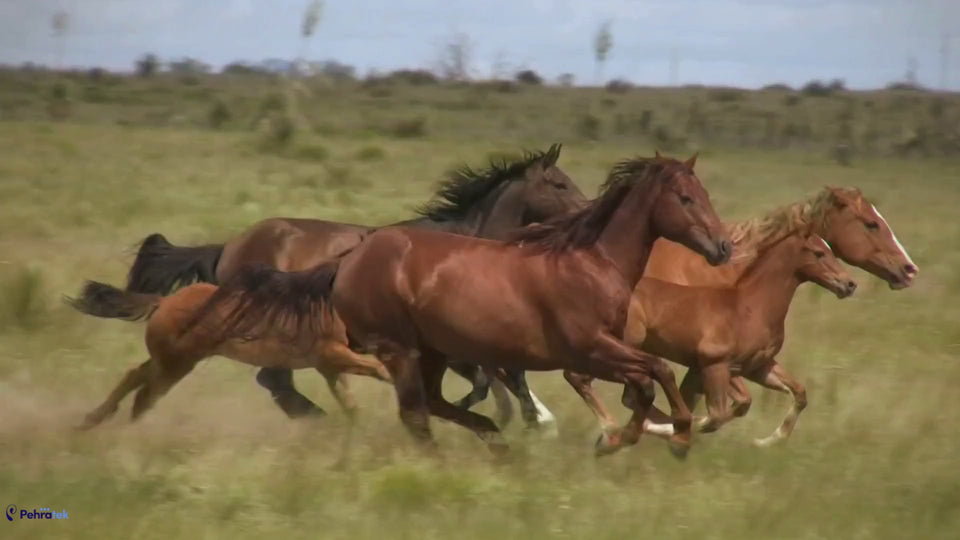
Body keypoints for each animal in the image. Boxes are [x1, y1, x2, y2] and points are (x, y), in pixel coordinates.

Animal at [66, 276, 392, 430]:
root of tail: (164, 301)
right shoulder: (331, 355)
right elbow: (379, 371)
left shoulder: (329, 366)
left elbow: (351, 406)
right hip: (176, 365)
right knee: (145, 396)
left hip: (166, 361)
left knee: (134, 378)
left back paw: (89, 423)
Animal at [115, 144, 587, 426]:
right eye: (559, 183)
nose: (588, 212)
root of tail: (227, 247)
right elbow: (496, 379)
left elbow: (495, 378)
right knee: (276, 382)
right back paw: (326, 421)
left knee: (277, 383)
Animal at [201, 152, 732, 457]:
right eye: (685, 198)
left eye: (704, 193)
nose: (723, 248)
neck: (590, 260)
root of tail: (347, 260)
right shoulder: (590, 349)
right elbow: (654, 373)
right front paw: (676, 434)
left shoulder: (598, 353)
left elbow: (645, 383)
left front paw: (621, 437)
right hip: (396, 348)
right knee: (411, 412)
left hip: (429, 351)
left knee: (427, 403)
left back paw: (492, 439)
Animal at [571, 230, 856, 455]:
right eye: (819, 253)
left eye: (831, 250)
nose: (849, 284)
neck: (751, 307)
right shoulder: (716, 364)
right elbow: (720, 414)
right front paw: (677, 434)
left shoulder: (758, 367)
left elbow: (797, 394)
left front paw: (766, 442)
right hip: (615, 348)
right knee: (580, 378)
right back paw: (612, 435)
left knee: (625, 394)